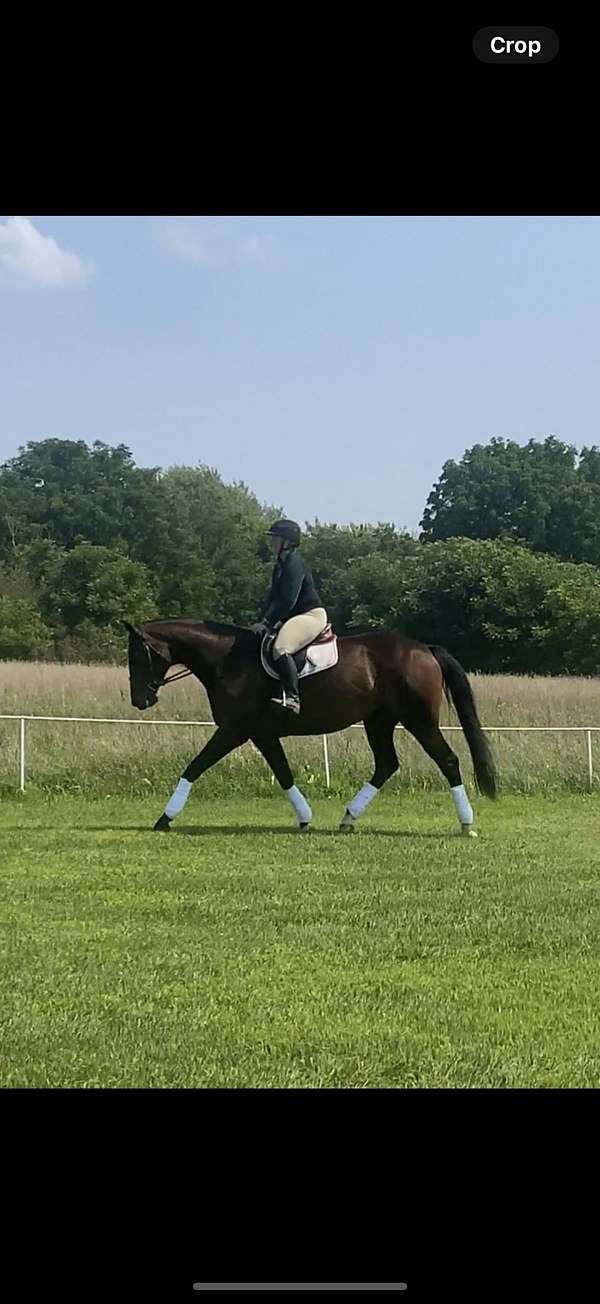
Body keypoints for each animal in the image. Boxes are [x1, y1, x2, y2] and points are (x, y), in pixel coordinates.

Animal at [124, 618, 498, 835]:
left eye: (138, 655)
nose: (140, 700)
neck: (227, 660)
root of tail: (424, 649)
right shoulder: (262, 734)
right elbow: (284, 773)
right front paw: (304, 818)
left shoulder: (234, 730)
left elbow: (194, 767)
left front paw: (165, 818)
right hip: (378, 721)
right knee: (386, 764)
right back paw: (348, 819)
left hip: (418, 719)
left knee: (447, 760)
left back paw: (466, 823)